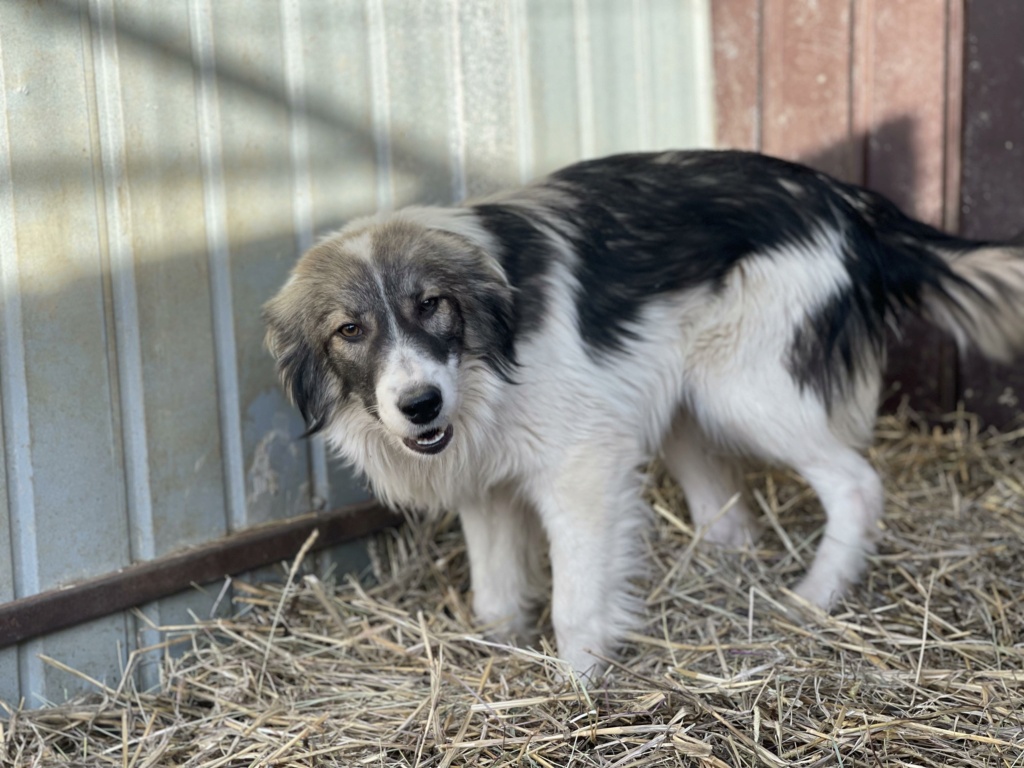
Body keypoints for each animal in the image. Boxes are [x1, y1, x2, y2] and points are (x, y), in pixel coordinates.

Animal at [264, 151, 1024, 679]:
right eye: (349, 331)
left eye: (431, 305)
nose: (420, 404)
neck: (487, 361)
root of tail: (850, 202)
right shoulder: (482, 485)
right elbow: (497, 598)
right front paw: (503, 655)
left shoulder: (582, 466)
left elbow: (574, 603)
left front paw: (577, 687)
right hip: (685, 404)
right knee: (732, 523)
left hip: (746, 393)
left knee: (856, 486)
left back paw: (813, 598)